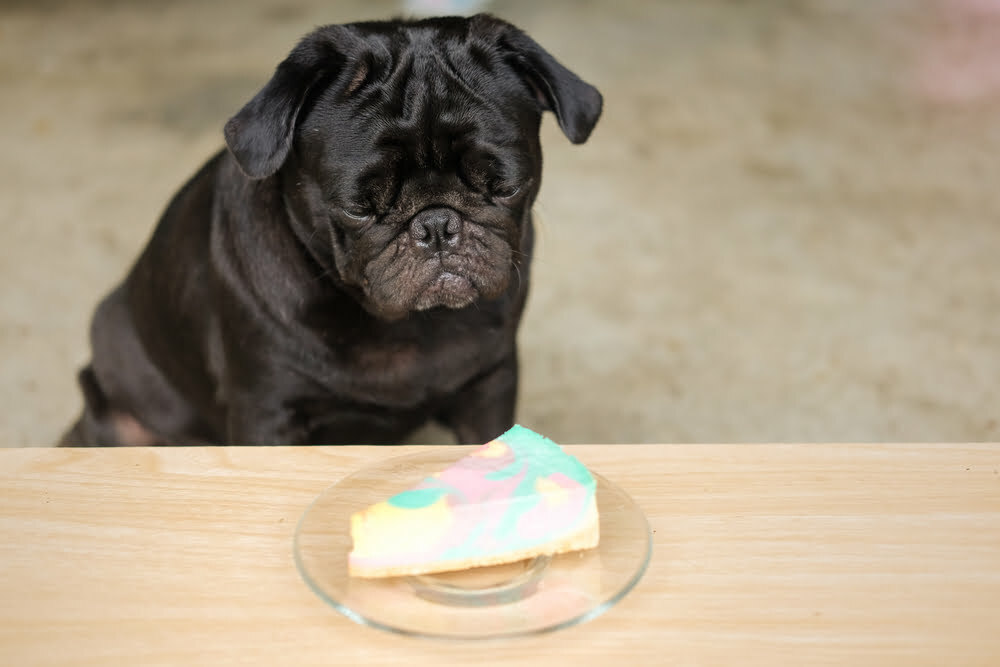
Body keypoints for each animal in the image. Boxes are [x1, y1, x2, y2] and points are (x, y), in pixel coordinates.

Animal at [60, 13, 600, 446]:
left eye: (505, 186)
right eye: (358, 208)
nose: (436, 224)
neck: (407, 328)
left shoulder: (490, 385)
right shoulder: (267, 412)